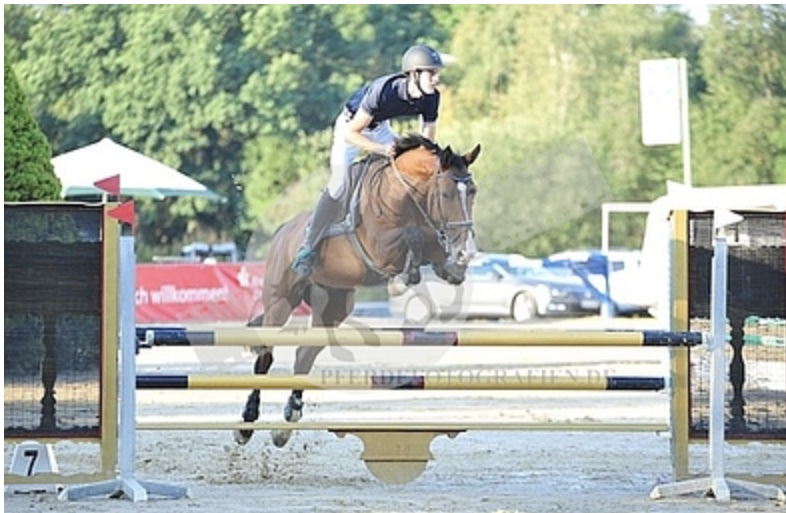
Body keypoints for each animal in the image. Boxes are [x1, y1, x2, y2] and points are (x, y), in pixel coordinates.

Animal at [235, 134, 481, 447]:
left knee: (304, 354)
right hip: (280, 301)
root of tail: (282, 231)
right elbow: (411, 236)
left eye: (472, 191)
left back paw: (288, 421)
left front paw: (452, 267)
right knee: (265, 357)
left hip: (333, 306)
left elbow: (430, 243)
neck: (402, 194)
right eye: (447, 193)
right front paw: (404, 279)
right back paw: (246, 423)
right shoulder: (380, 247)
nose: (467, 251)